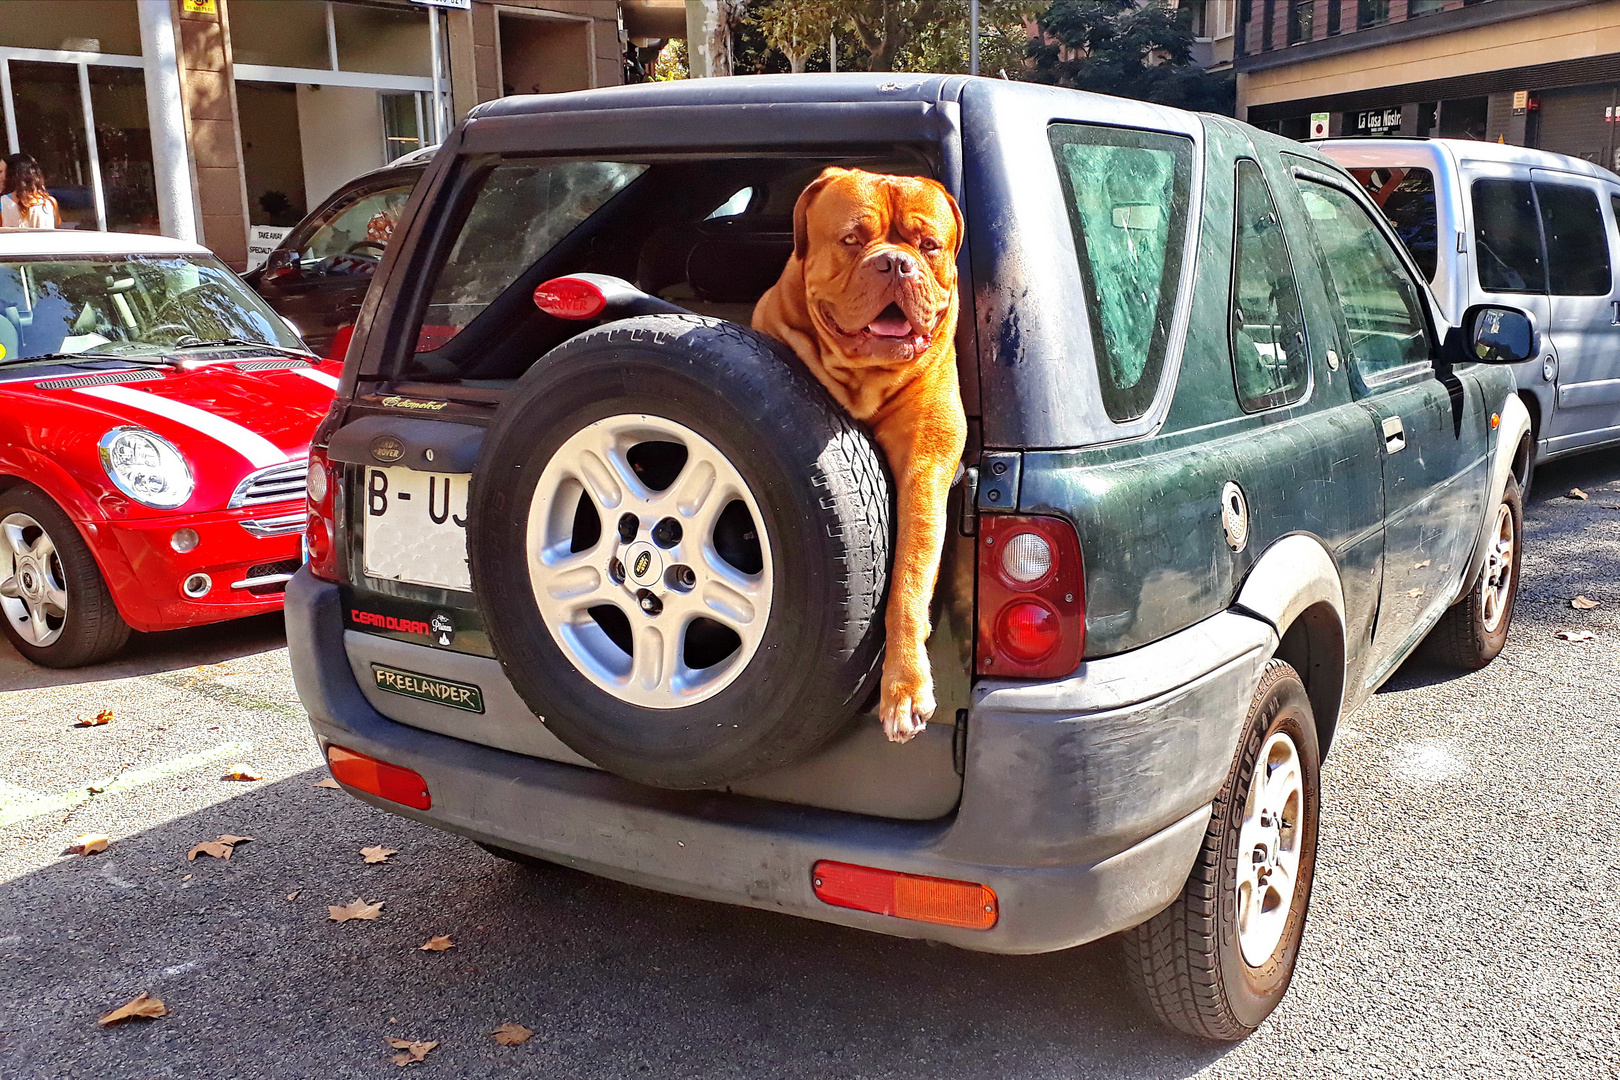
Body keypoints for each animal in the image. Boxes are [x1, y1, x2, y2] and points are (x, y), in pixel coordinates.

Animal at [754, 169, 965, 744]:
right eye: (852, 239)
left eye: (928, 245)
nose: (895, 262)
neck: (864, 378)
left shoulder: (926, 471)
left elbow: (909, 581)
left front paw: (904, 686)